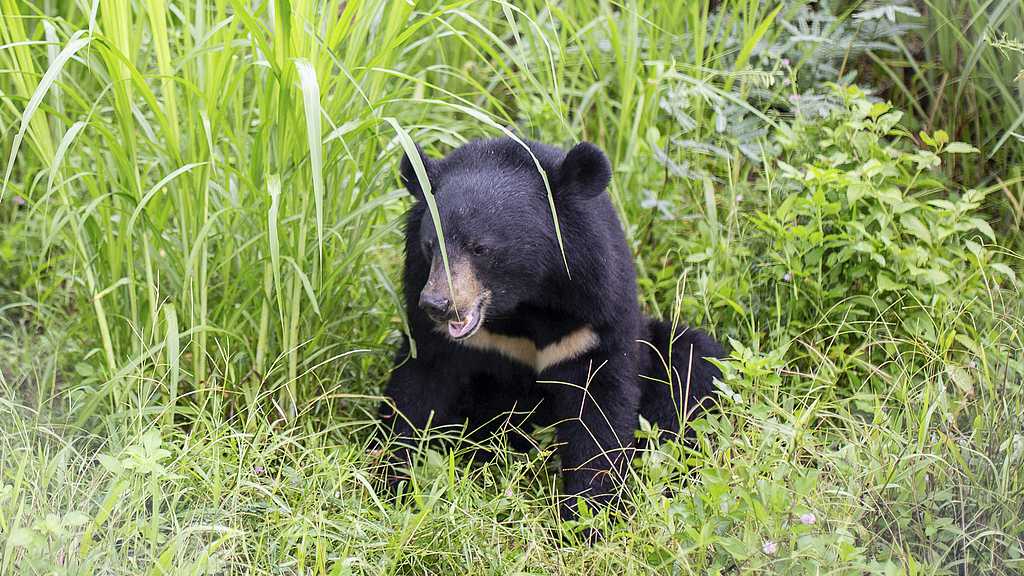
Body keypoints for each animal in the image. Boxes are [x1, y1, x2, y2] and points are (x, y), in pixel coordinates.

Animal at [377, 137, 723, 522]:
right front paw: (392, 484)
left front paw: (591, 516)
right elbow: (418, 390)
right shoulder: (432, 322)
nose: (437, 303)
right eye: (430, 245)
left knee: (692, 363)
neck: (523, 301)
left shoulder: (590, 318)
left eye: (480, 248)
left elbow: (598, 410)